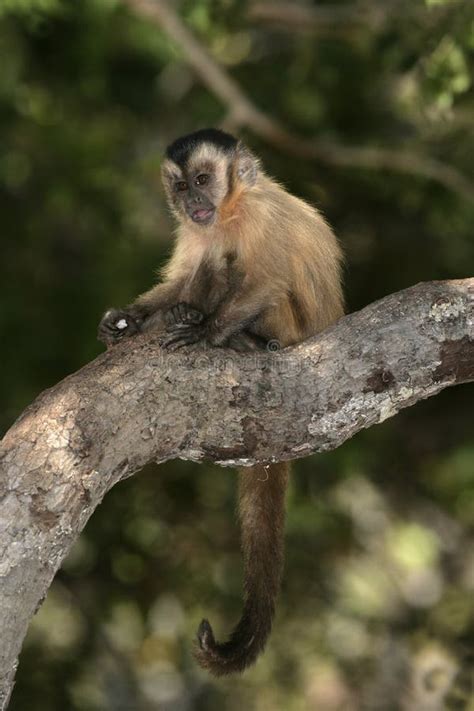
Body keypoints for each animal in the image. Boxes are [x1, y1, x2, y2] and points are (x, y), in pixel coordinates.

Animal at [98, 128, 342, 680]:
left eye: (204, 180)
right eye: (182, 184)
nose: (192, 201)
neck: (229, 213)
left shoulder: (258, 217)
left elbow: (268, 278)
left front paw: (207, 332)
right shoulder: (198, 230)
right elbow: (188, 271)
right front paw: (131, 318)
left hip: (296, 333)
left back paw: (243, 342)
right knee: (211, 263)